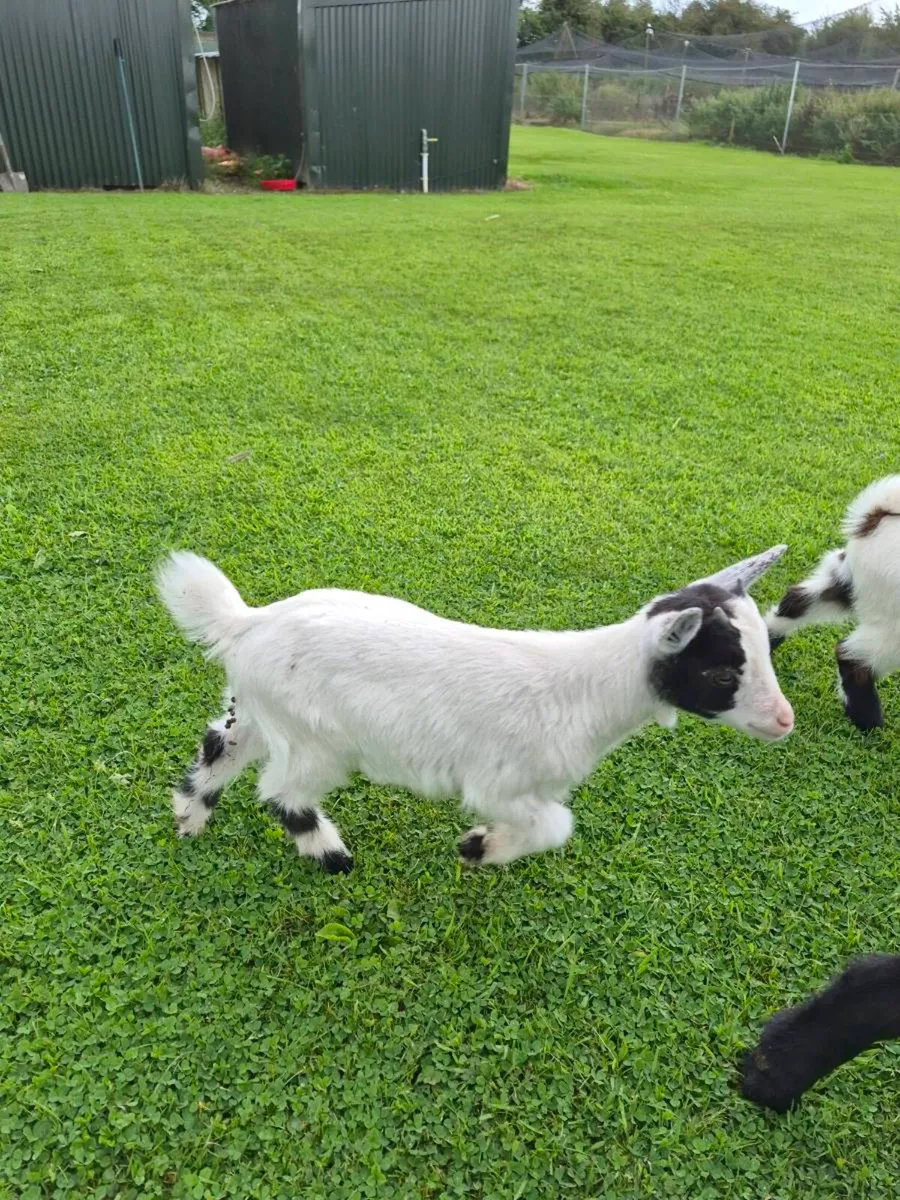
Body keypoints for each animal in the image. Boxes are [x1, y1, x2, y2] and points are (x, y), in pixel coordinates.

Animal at [156, 546, 793, 874]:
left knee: (221, 744)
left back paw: (189, 817)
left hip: (259, 707)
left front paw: (483, 845)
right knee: (281, 791)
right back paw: (331, 854)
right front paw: (479, 847)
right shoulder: (498, 783)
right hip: (319, 740)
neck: (587, 691)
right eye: (721, 674)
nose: (783, 721)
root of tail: (249, 622)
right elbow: (555, 826)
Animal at [766, 475, 900, 731]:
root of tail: (876, 518)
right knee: (851, 658)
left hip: (848, 580)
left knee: (795, 600)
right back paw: (868, 719)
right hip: (891, 626)